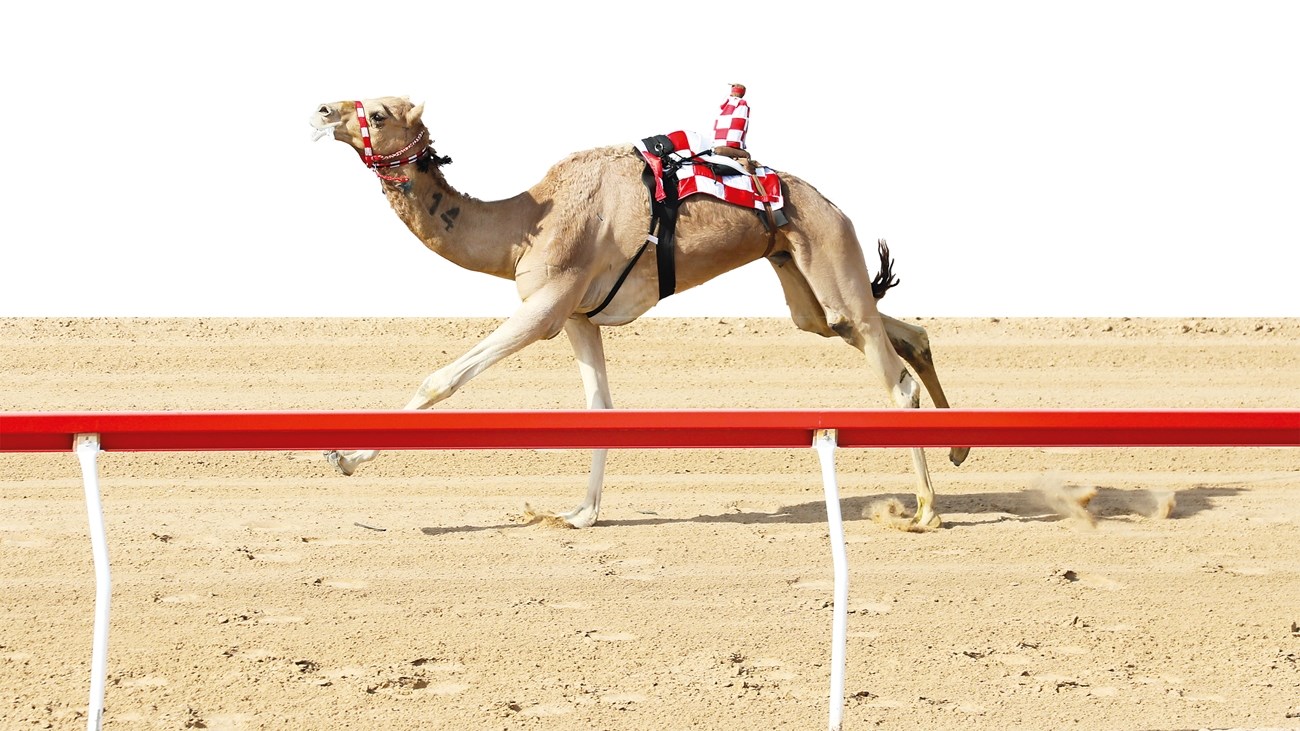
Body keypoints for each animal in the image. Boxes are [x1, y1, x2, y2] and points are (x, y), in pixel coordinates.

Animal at [312, 96, 967, 528]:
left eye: (378, 113)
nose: (321, 110)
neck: (526, 224)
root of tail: (834, 205)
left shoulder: (546, 307)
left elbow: (440, 379)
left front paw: (344, 457)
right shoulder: (578, 317)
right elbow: (599, 408)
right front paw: (581, 513)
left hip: (828, 250)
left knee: (893, 377)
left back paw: (925, 511)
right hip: (797, 273)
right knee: (886, 329)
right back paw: (957, 448)